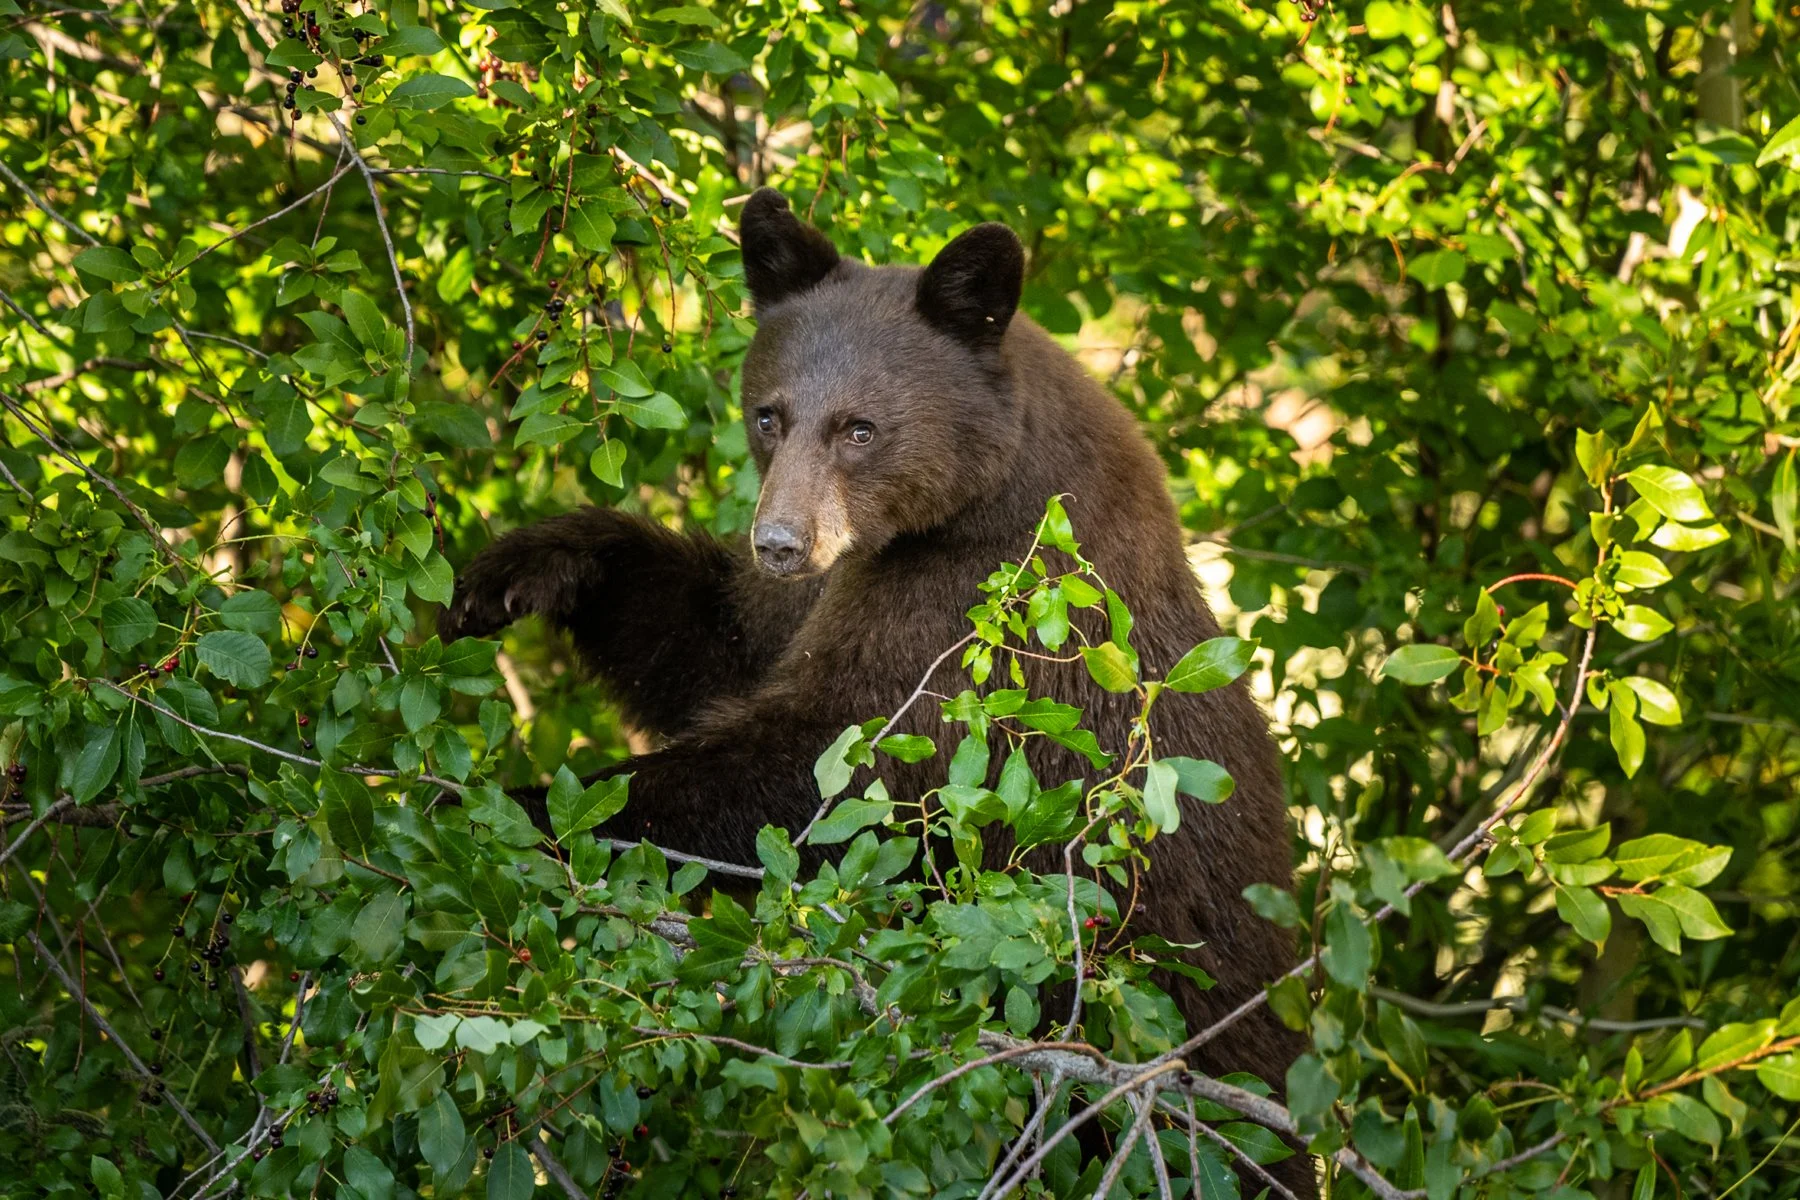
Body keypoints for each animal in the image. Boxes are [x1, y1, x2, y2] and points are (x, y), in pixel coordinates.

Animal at [440, 189, 1313, 1195]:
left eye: (859, 428)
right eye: (770, 415)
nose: (780, 542)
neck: (964, 503)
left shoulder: (980, 616)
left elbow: (825, 766)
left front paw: (518, 806)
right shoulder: (826, 589)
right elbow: (719, 643)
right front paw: (523, 569)